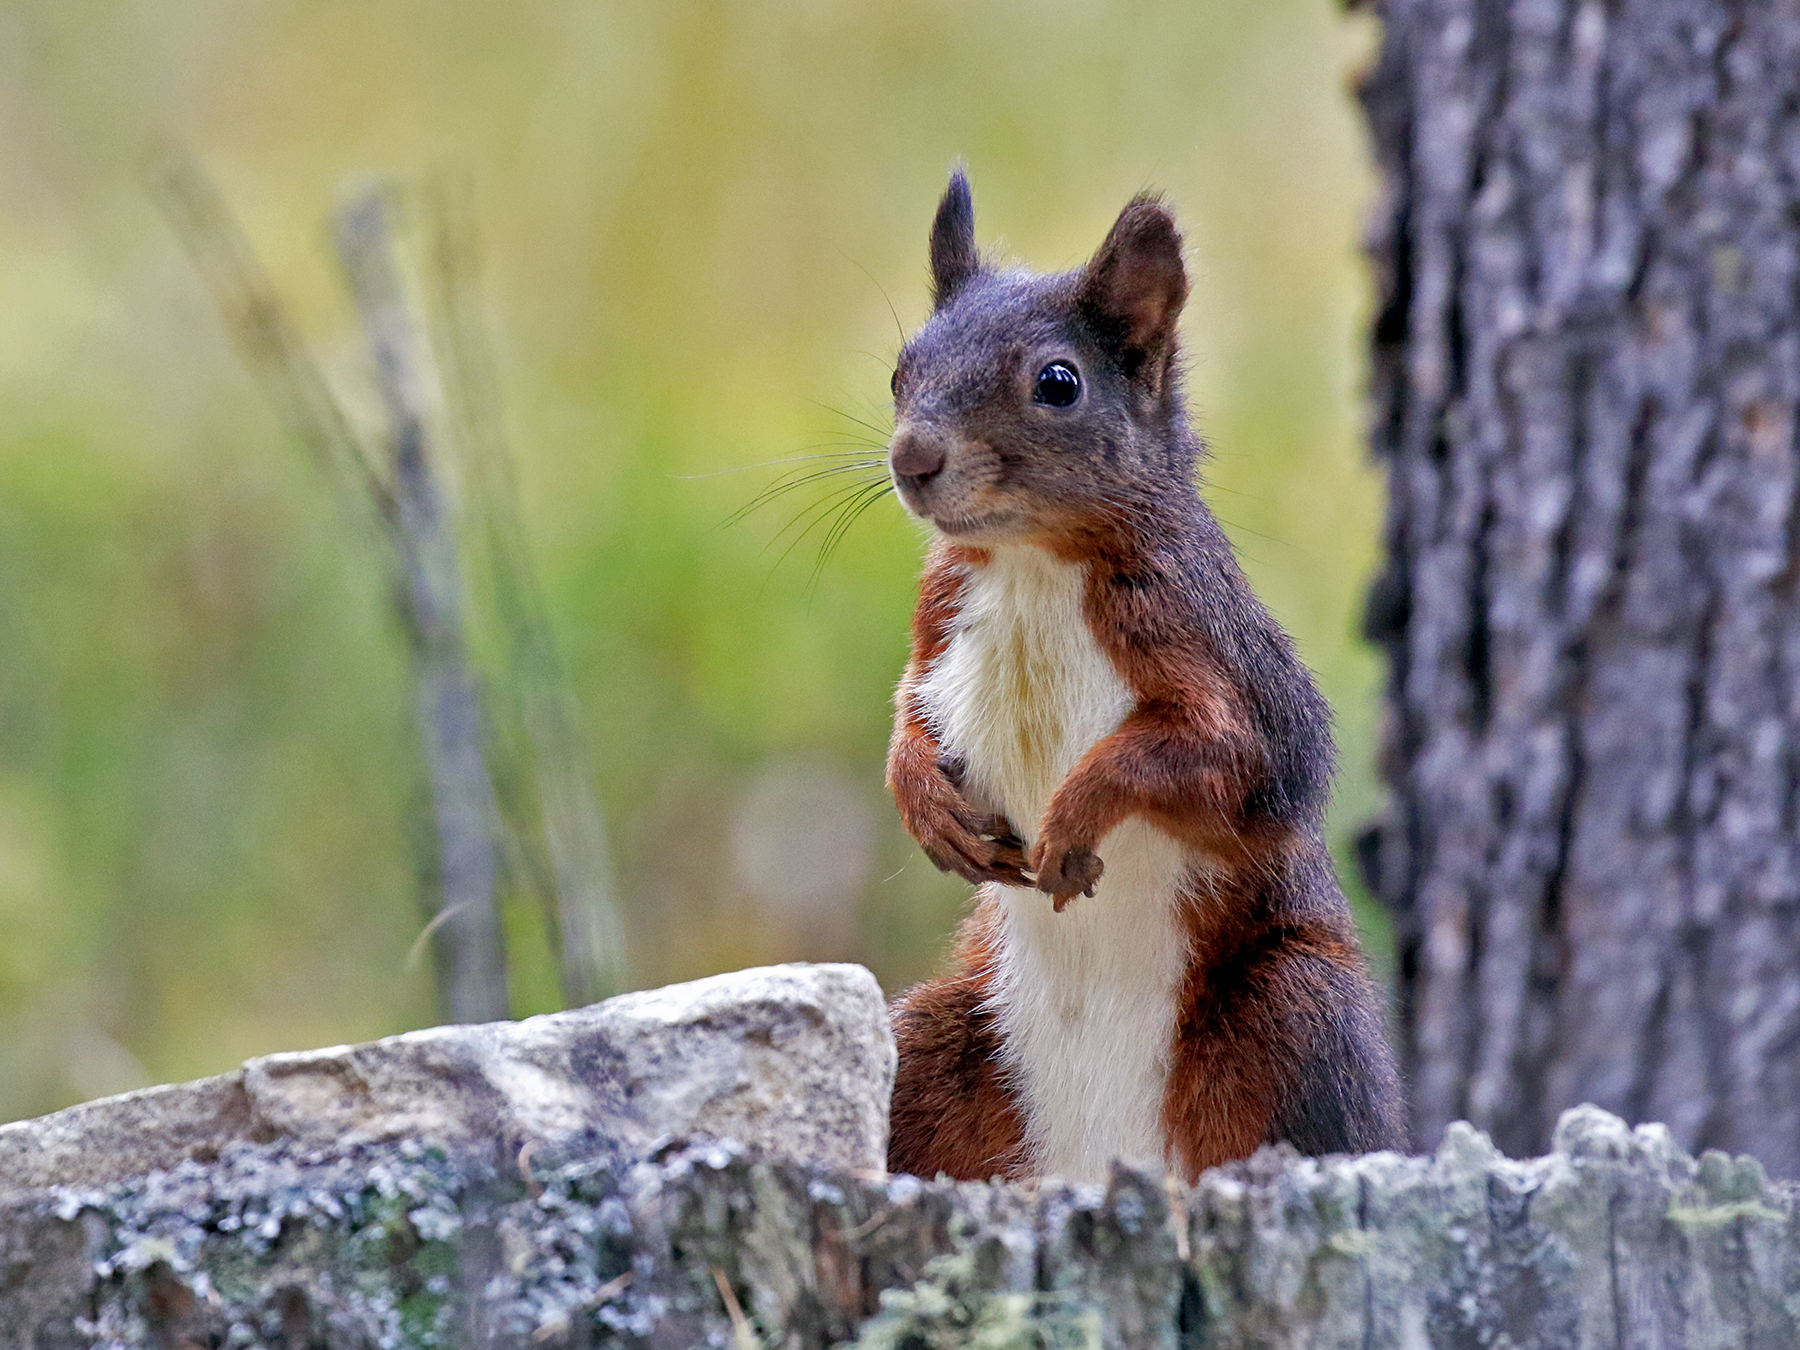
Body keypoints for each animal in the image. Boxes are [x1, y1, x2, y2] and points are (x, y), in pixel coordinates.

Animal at [883, 171, 1404, 1184]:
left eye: (1058, 383)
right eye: (899, 370)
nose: (912, 459)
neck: (1032, 562)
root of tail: (1099, 1165)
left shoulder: (1219, 655)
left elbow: (1213, 755)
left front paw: (1076, 814)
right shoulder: (936, 627)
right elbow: (904, 718)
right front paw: (925, 802)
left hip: (1294, 1014)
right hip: (933, 1044)